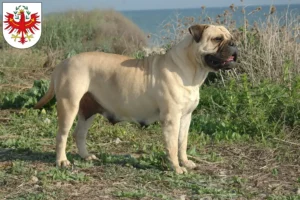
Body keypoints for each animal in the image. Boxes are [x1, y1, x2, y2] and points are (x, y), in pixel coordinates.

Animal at [34, 23, 237, 173]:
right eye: (217, 39)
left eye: (231, 38)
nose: (234, 44)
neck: (190, 69)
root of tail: (63, 63)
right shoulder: (171, 119)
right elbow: (172, 146)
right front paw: (176, 168)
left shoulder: (186, 117)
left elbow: (182, 142)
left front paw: (185, 162)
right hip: (69, 106)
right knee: (62, 135)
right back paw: (62, 161)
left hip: (88, 110)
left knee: (80, 133)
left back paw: (86, 156)